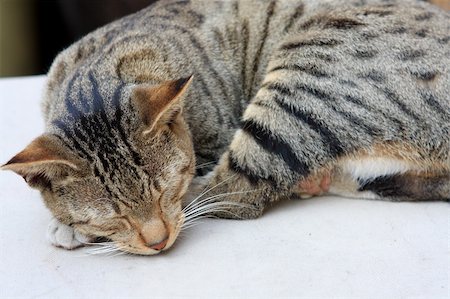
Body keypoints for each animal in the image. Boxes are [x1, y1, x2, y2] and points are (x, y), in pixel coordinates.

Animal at [1, 0, 448, 256]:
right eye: (113, 214)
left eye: (165, 191)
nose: (157, 241)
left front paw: (67, 226)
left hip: (307, 75)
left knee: (237, 191)